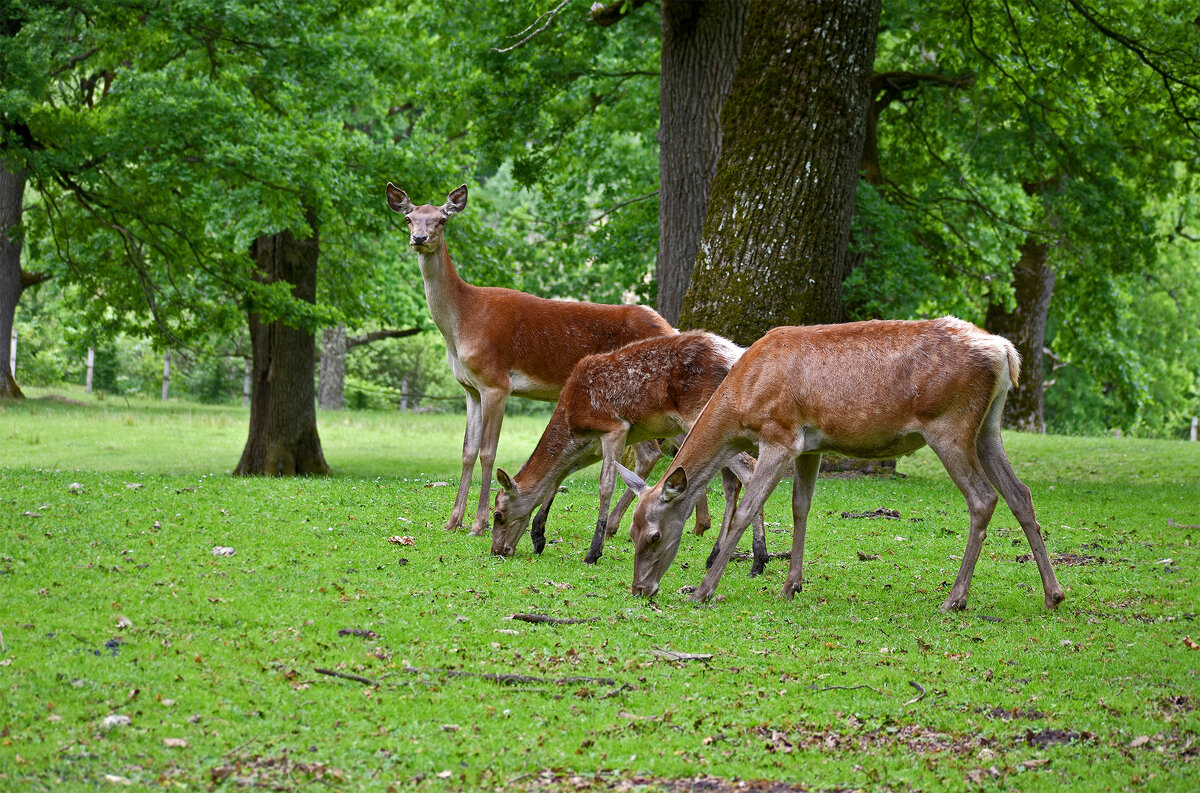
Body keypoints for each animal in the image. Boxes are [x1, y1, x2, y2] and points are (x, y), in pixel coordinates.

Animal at [388, 182, 681, 535]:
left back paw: (618, 524)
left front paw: (478, 524)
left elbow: (488, 452)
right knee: (658, 450)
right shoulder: (470, 389)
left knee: (656, 451)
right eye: (409, 218)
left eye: (442, 220)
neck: (462, 323)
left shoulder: (496, 382)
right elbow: (467, 451)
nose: (419, 238)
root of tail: (668, 326)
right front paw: (452, 521)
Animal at [489, 328, 768, 568]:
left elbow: (605, 485)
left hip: (704, 417)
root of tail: (734, 356)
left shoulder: (614, 427)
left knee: (750, 471)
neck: (571, 420)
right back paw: (716, 554)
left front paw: (593, 551)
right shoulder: (590, 447)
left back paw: (759, 558)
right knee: (732, 482)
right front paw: (538, 535)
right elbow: (558, 476)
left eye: (498, 514)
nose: (496, 550)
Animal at [619, 314, 1070, 611]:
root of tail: (1005, 352)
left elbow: (748, 509)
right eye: (632, 531)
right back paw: (1053, 594)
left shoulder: (780, 434)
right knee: (1020, 493)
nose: (640, 589)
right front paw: (791, 586)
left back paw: (954, 598)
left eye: (654, 536)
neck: (741, 404)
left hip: (951, 425)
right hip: (988, 426)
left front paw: (703, 590)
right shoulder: (811, 446)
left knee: (983, 498)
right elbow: (800, 508)